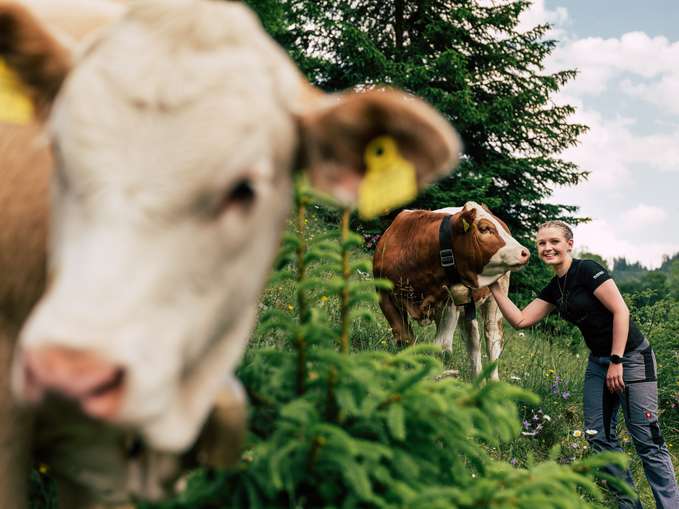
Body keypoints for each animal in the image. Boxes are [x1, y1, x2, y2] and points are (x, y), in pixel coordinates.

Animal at [374, 201, 528, 378]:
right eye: (484, 228)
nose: (525, 252)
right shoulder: (384, 295)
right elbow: (404, 338)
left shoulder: (449, 304)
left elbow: (441, 347)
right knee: (473, 340)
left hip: (497, 298)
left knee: (493, 339)